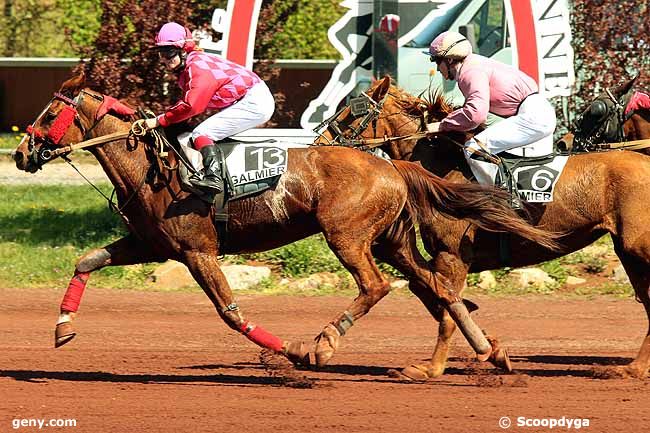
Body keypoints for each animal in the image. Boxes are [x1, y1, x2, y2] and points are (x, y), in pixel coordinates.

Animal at [12, 72, 556, 372]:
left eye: (48, 114)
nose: (19, 153)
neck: (153, 168)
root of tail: (391, 165)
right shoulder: (151, 245)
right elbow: (87, 260)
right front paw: (62, 328)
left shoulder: (196, 251)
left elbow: (230, 313)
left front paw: (292, 352)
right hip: (392, 242)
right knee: (435, 287)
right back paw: (484, 352)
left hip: (347, 236)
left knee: (377, 287)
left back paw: (324, 343)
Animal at [320, 77, 650, 378]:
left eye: (352, 110)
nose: (321, 143)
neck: (444, 168)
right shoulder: (441, 256)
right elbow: (432, 293)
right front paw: (491, 349)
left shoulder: (453, 255)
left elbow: (448, 308)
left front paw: (431, 368)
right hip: (626, 251)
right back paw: (634, 368)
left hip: (636, 246)